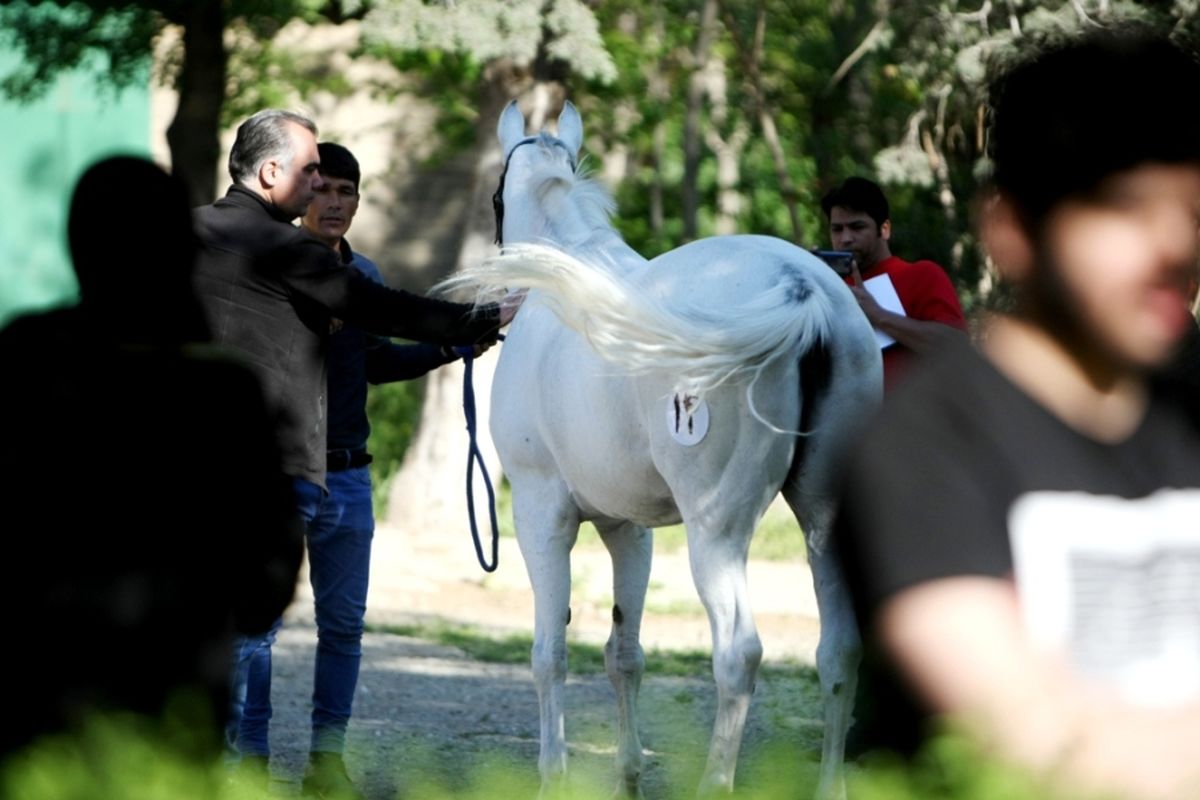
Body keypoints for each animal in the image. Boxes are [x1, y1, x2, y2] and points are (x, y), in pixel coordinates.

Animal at [451, 101, 883, 800]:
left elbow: (550, 655)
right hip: (826, 517)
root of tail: (801, 289)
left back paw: (715, 781)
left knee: (738, 653)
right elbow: (624, 654)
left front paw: (554, 776)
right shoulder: (629, 528)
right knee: (839, 650)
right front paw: (627, 776)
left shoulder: (541, 513)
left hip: (718, 529)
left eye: (494, 195)